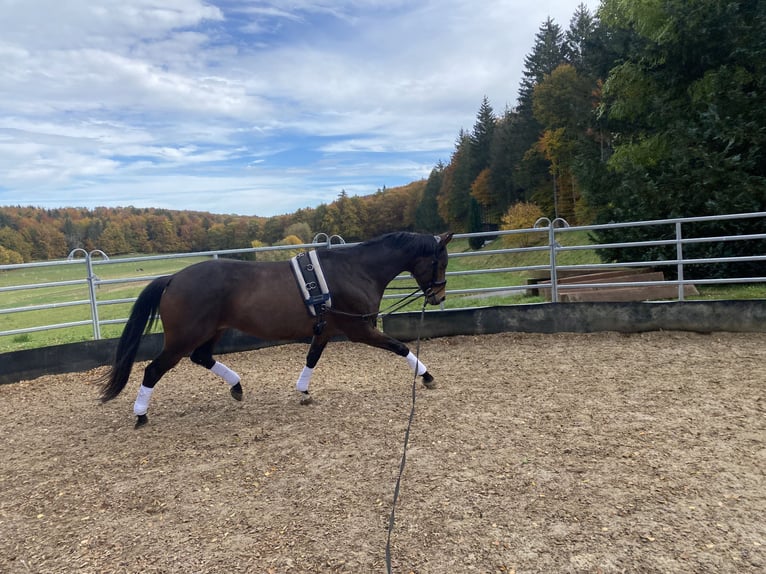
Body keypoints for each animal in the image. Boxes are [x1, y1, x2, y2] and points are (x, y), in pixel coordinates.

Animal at [99, 231, 452, 428]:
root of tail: (173, 278)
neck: (356, 269)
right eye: (443, 262)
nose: (439, 297)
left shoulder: (326, 329)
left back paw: (237, 386)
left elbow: (312, 358)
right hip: (182, 339)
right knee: (153, 370)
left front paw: (303, 391)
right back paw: (141, 414)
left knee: (201, 357)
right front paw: (427, 377)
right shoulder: (359, 329)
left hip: (211, 331)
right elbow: (400, 346)